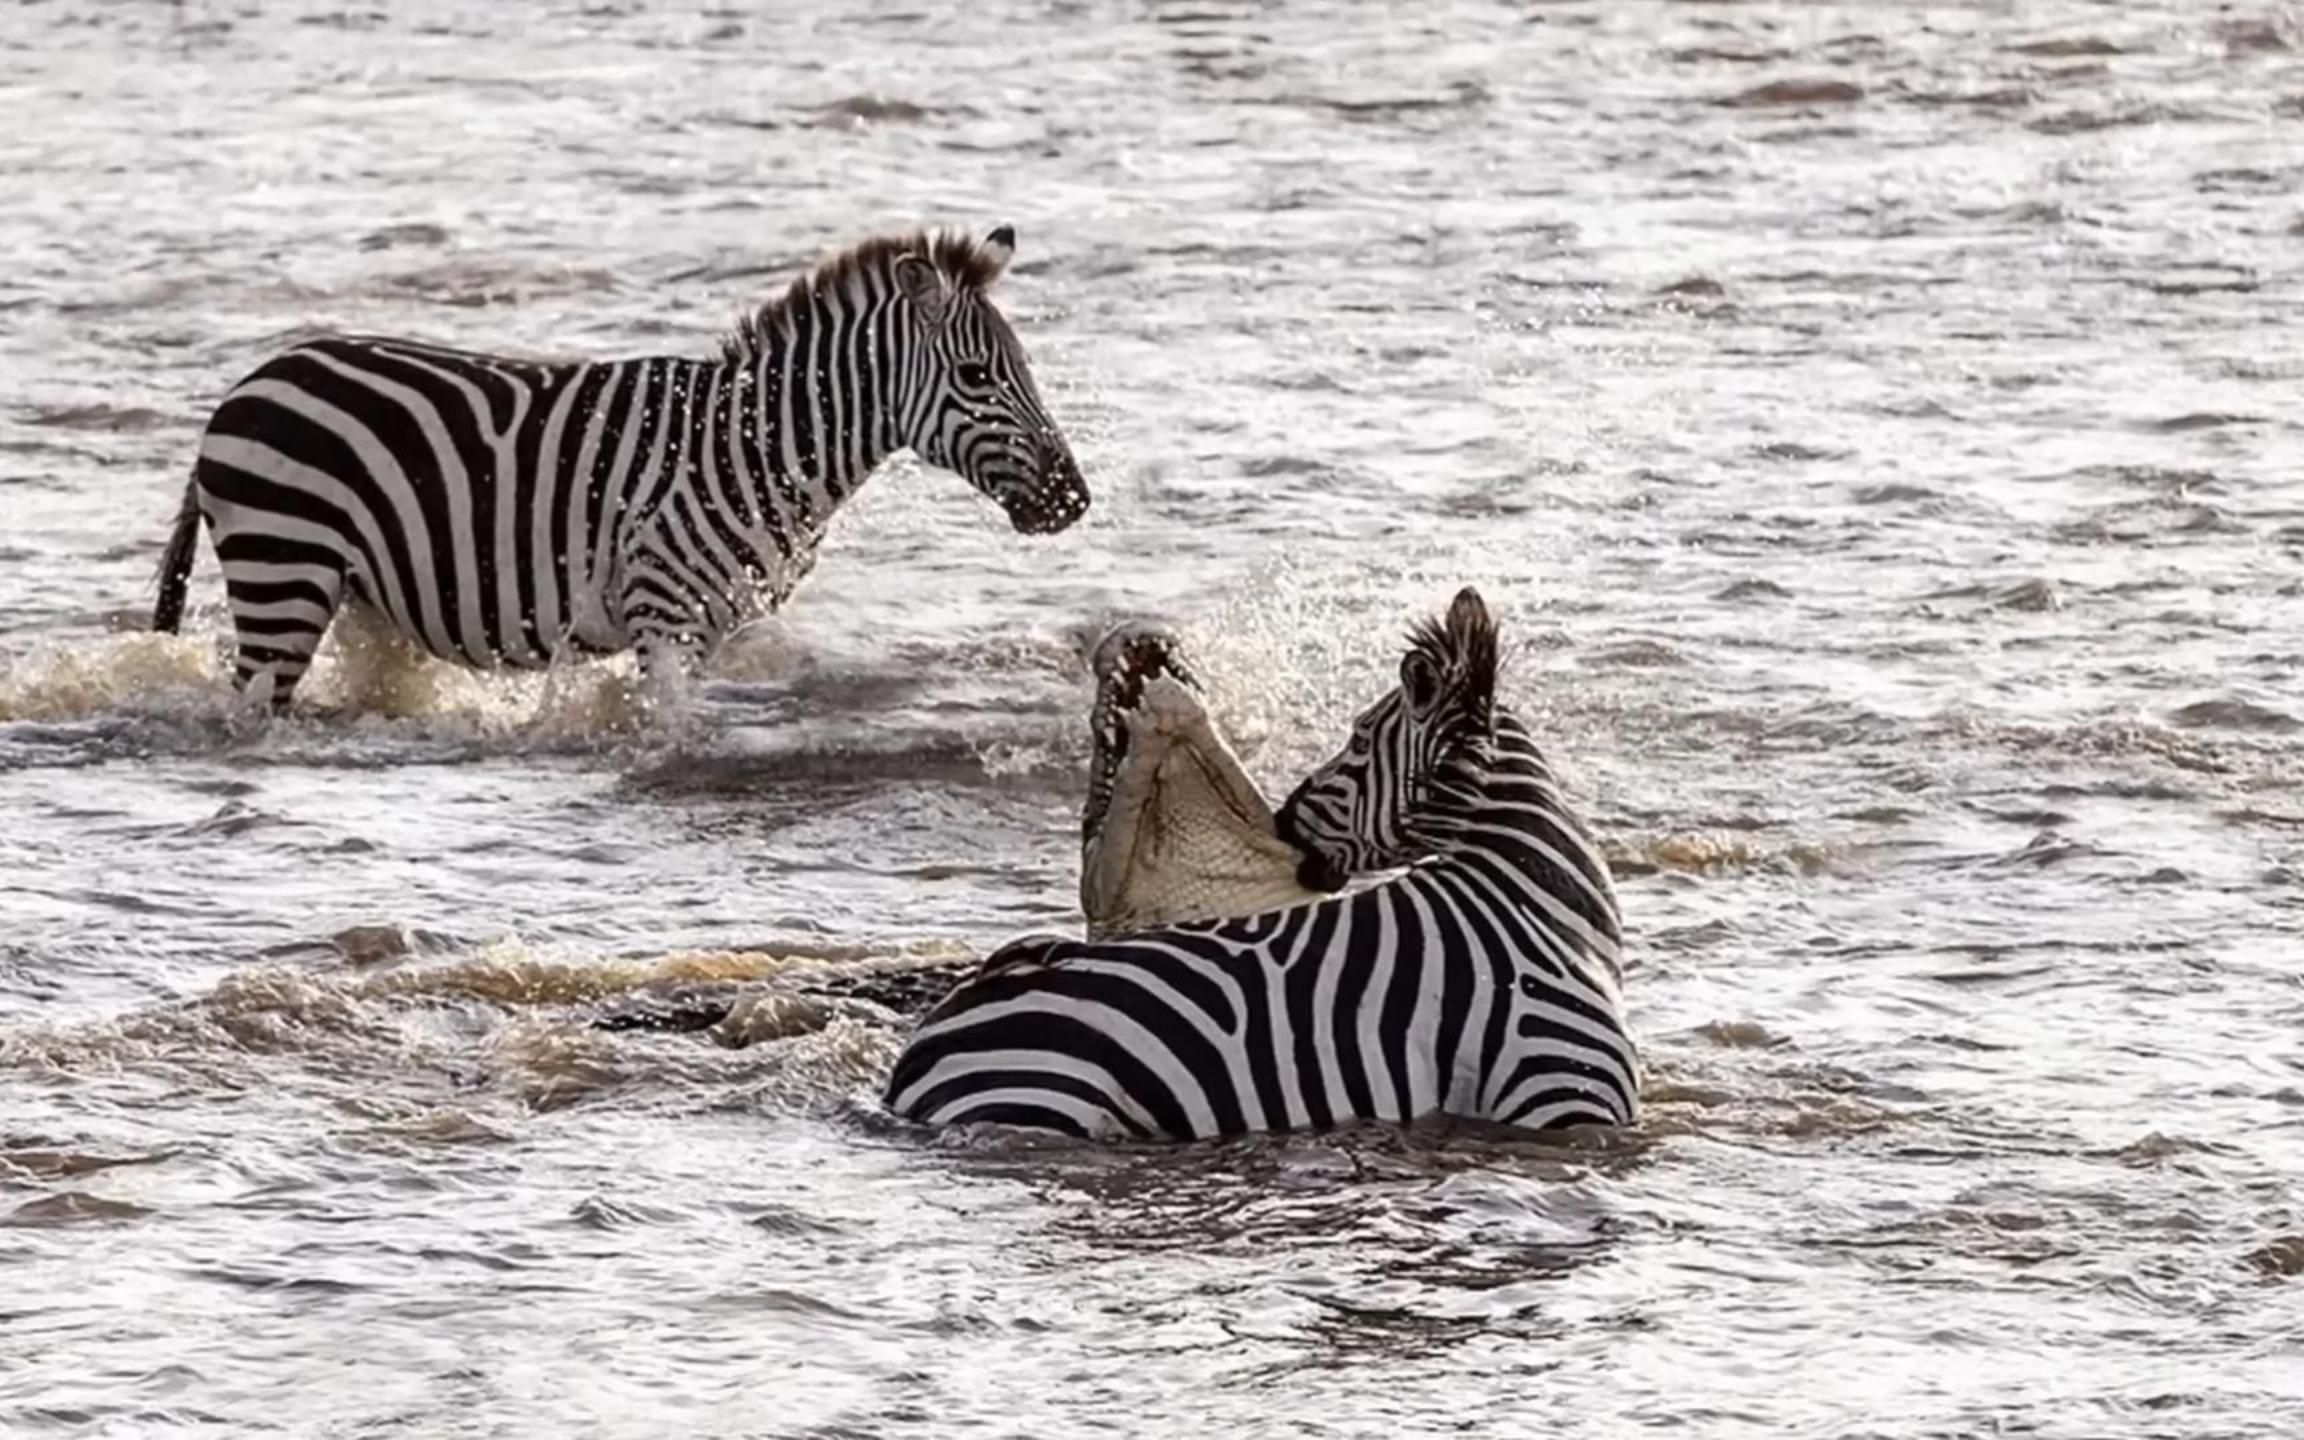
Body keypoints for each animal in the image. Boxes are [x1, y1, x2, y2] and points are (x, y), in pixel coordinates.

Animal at [150, 223, 1087, 709]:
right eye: (977, 375)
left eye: (1024, 367)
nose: (1072, 500)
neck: (760, 445)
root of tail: (246, 385)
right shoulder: (664, 616)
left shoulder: (711, 627)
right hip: (284, 571)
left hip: (356, 595)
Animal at [880, 585, 1640, 1133]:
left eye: (1357, 741)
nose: (1284, 823)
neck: (1530, 904)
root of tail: (923, 1047)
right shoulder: (1560, 1092)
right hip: (1052, 1102)